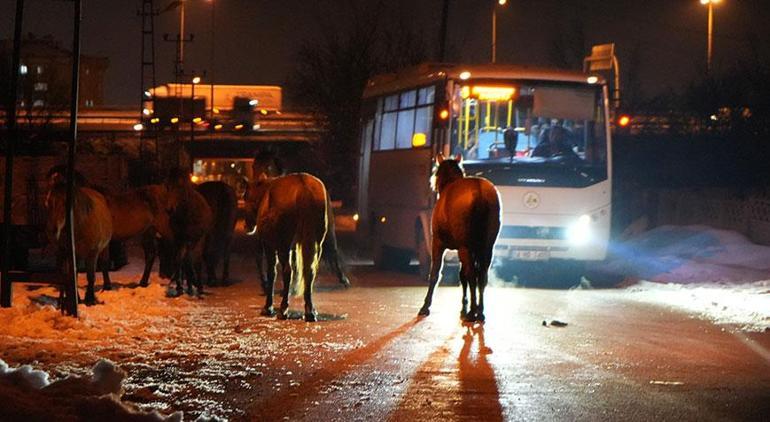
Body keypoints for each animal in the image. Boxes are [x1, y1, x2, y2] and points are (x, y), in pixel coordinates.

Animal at [45, 176, 114, 304]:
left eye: (65, 203)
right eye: (48, 202)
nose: (52, 230)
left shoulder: (92, 253)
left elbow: (91, 275)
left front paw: (90, 299)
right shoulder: (68, 253)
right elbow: (72, 276)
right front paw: (73, 298)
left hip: (104, 248)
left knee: (104, 264)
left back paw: (107, 286)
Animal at [160, 168, 212, 296]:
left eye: (180, 187)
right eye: (167, 186)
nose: (169, 209)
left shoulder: (194, 240)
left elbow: (192, 262)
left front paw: (195, 287)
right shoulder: (178, 240)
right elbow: (179, 260)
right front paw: (179, 287)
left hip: (198, 240)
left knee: (195, 261)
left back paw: (197, 286)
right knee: (185, 261)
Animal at [244, 173, 328, 322]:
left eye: (245, 196)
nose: (246, 225)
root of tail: (304, 188)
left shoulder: (270, 245)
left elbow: (272, 273)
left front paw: (268, 307)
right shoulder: (293, 248)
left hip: (283, 245)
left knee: (287, 271)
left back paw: (283, 309)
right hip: (317, 243)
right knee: (310, 270)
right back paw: (310, 310)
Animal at [416, 153, 500, 322]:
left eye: (436, 172)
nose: (434, 185)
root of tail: (480, 193)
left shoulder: (437, 243)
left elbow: (435, 273)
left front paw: (426, 306)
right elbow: (463, 276)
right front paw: (463, 307)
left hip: (465, 247)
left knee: (473, 275)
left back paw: (473, 312)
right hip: (486, 247)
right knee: (481, 276)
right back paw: (479, 311)